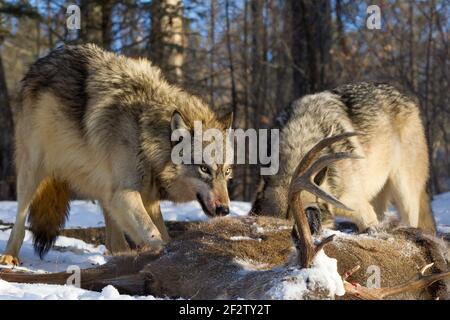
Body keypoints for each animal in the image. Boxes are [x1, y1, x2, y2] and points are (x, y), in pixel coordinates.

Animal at [0, 43, 232, 266]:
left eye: (227, 172)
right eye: (204, 169)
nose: (224, 210)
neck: (144, 132)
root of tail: (40, 61)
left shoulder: (147, 197)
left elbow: (162, 233)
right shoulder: (124, 194)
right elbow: (152, 232)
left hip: (104, 188)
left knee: (114, 242)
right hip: (33, 171)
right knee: (20, 219)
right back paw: (10, 256)